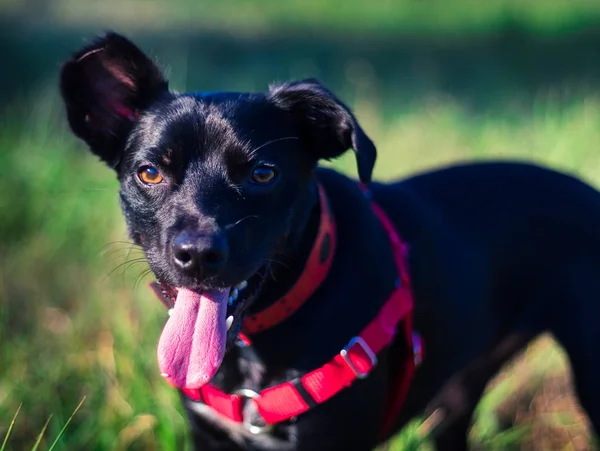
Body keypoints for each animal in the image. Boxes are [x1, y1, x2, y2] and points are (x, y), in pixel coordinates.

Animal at [57, 32, 600, 451]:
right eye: (149, 172)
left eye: (262, 173)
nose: (197, 255)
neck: (252, 350)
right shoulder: (209, 435)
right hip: (458, 390)